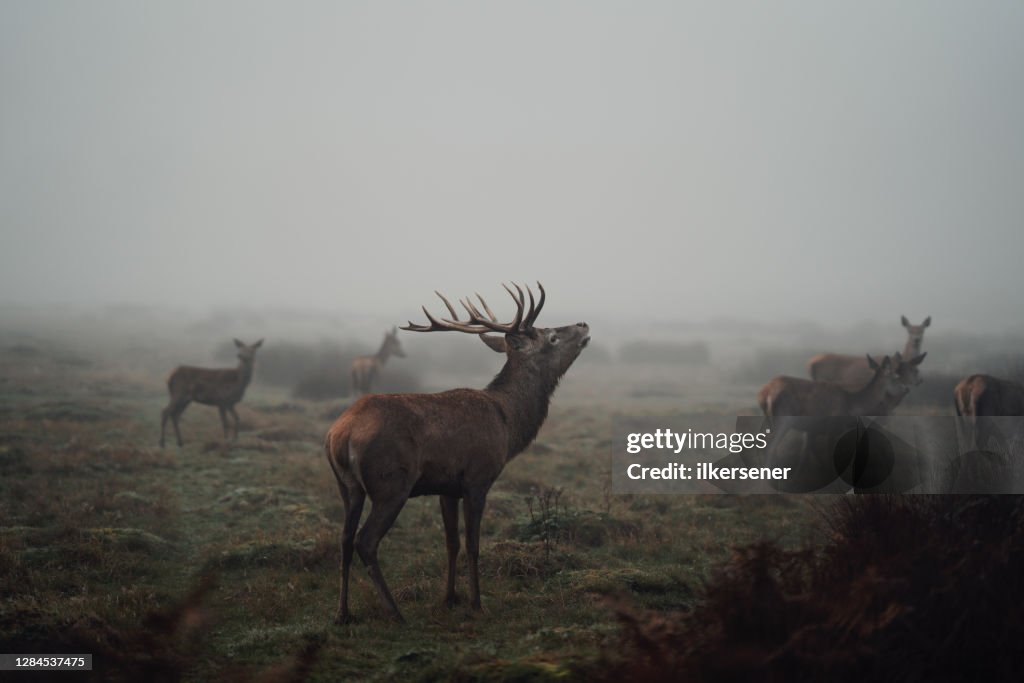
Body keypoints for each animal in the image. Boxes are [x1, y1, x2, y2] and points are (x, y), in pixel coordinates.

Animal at [324, 283, 589, 624]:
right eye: (551, 336)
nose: (583, 325)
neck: (508, 422)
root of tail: (340, 435)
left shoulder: (446, 486)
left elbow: (451, 542)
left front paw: (449, 598)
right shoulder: (478, 478)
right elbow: (473, 544)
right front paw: (477, 602)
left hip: (347, 486)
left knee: (344, 538)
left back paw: (342, 613)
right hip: (390, 483)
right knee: (365, 541)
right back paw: (396, 612)